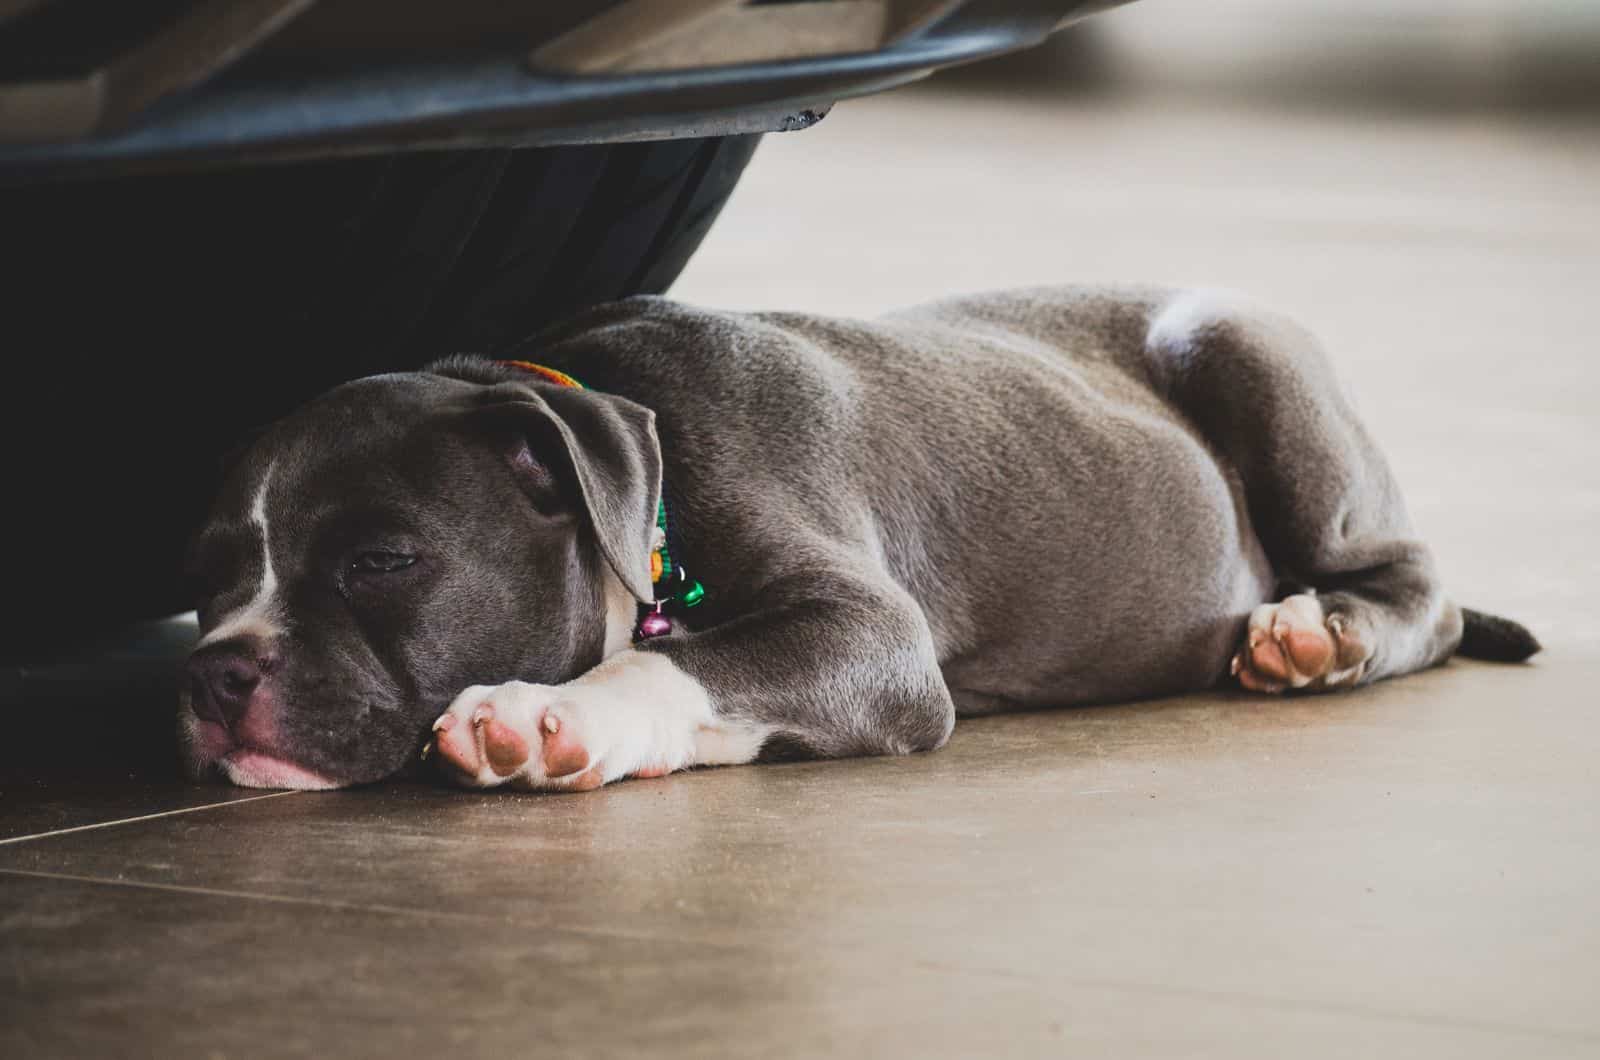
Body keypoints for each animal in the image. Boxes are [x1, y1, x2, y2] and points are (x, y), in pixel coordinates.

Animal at [181, 286, 1542, 794]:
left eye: (382, 561)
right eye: (208, 574)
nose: (214, 672)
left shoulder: (870, 633)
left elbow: (678, 659)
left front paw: (549, 711)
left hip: (1241, 349)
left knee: (1417, 586)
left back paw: (1316, 635)